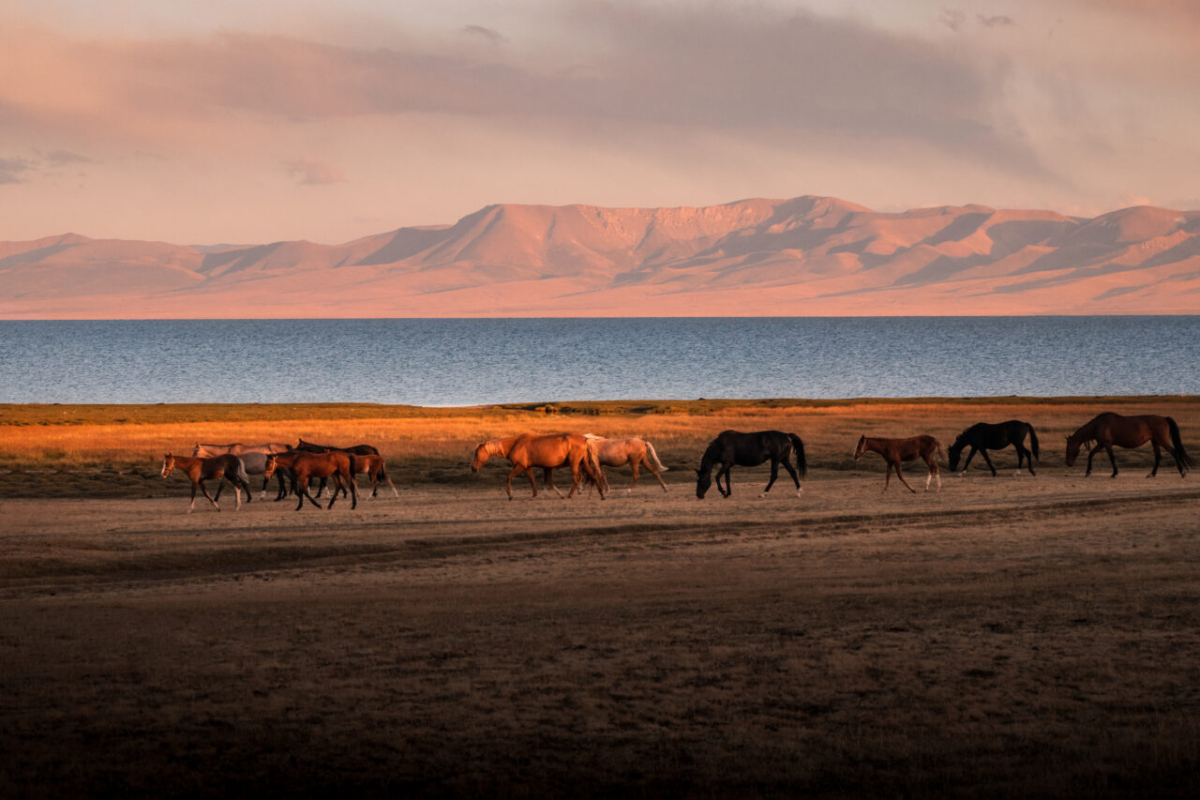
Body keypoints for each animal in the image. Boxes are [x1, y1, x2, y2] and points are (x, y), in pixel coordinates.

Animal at [470, 433, 606, 500]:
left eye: (476, 453)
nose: (473, 468)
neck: (515, 444)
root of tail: (584, 438)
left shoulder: (520, 466)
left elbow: (508, 477)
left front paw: (510, 495)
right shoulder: (528, 467)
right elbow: (533, 481)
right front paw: (535, 495)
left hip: (574, 464)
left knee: (576, 479)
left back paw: (570, 495)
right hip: (583, 462)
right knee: (594, 475)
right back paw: (602, 495)